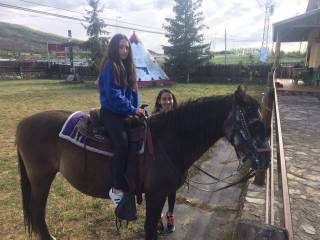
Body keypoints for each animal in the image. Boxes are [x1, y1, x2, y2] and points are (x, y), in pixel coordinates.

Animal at [15, 86, 270, 240]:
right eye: (254, 123)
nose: (266, 160)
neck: (168, 140)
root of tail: (24, 122)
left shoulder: (157, 194)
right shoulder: (155, 194)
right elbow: (149, 228)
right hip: (41, 178)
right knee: (37, 213)